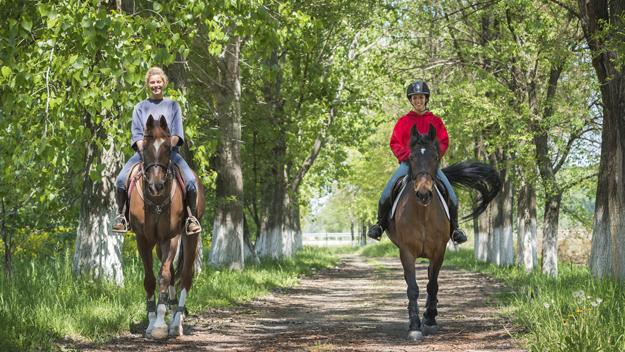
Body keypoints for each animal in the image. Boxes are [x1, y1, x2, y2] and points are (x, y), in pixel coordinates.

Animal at [129, 115, 206, 338]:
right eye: (145, 148)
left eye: (168, 149)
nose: (156, 186)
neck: (156, 201)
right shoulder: (143, 240)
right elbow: (150, 280)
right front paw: (151, 322)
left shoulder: (170, 238)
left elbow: (163, 277)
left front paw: (160, 326)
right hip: (158, 245)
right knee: (172, 272)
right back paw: (172, 314)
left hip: (190, 236)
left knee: (185, 277)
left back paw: (176, 322)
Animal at [386, 124, 502, 340]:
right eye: (411, 157)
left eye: (436, 157)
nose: (423, 194)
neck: (422, 213)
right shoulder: (406, 252)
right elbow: (412, 288)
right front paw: (414, 326)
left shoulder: (439, 252)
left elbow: (432, 285)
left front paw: (430, 321)